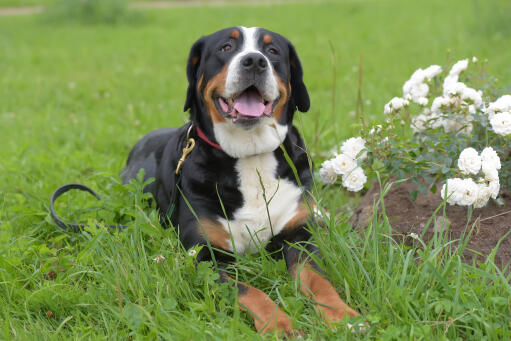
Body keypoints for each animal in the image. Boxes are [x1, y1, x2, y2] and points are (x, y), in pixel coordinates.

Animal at [121, 26, 360, 334]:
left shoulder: (299, 237)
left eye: (272, 51)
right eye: (226, 47)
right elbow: (249, 291)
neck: (251, 153)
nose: (254, 61)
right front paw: (279, 325)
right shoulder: (207, 255)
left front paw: (341, 316)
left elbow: (319, 279)